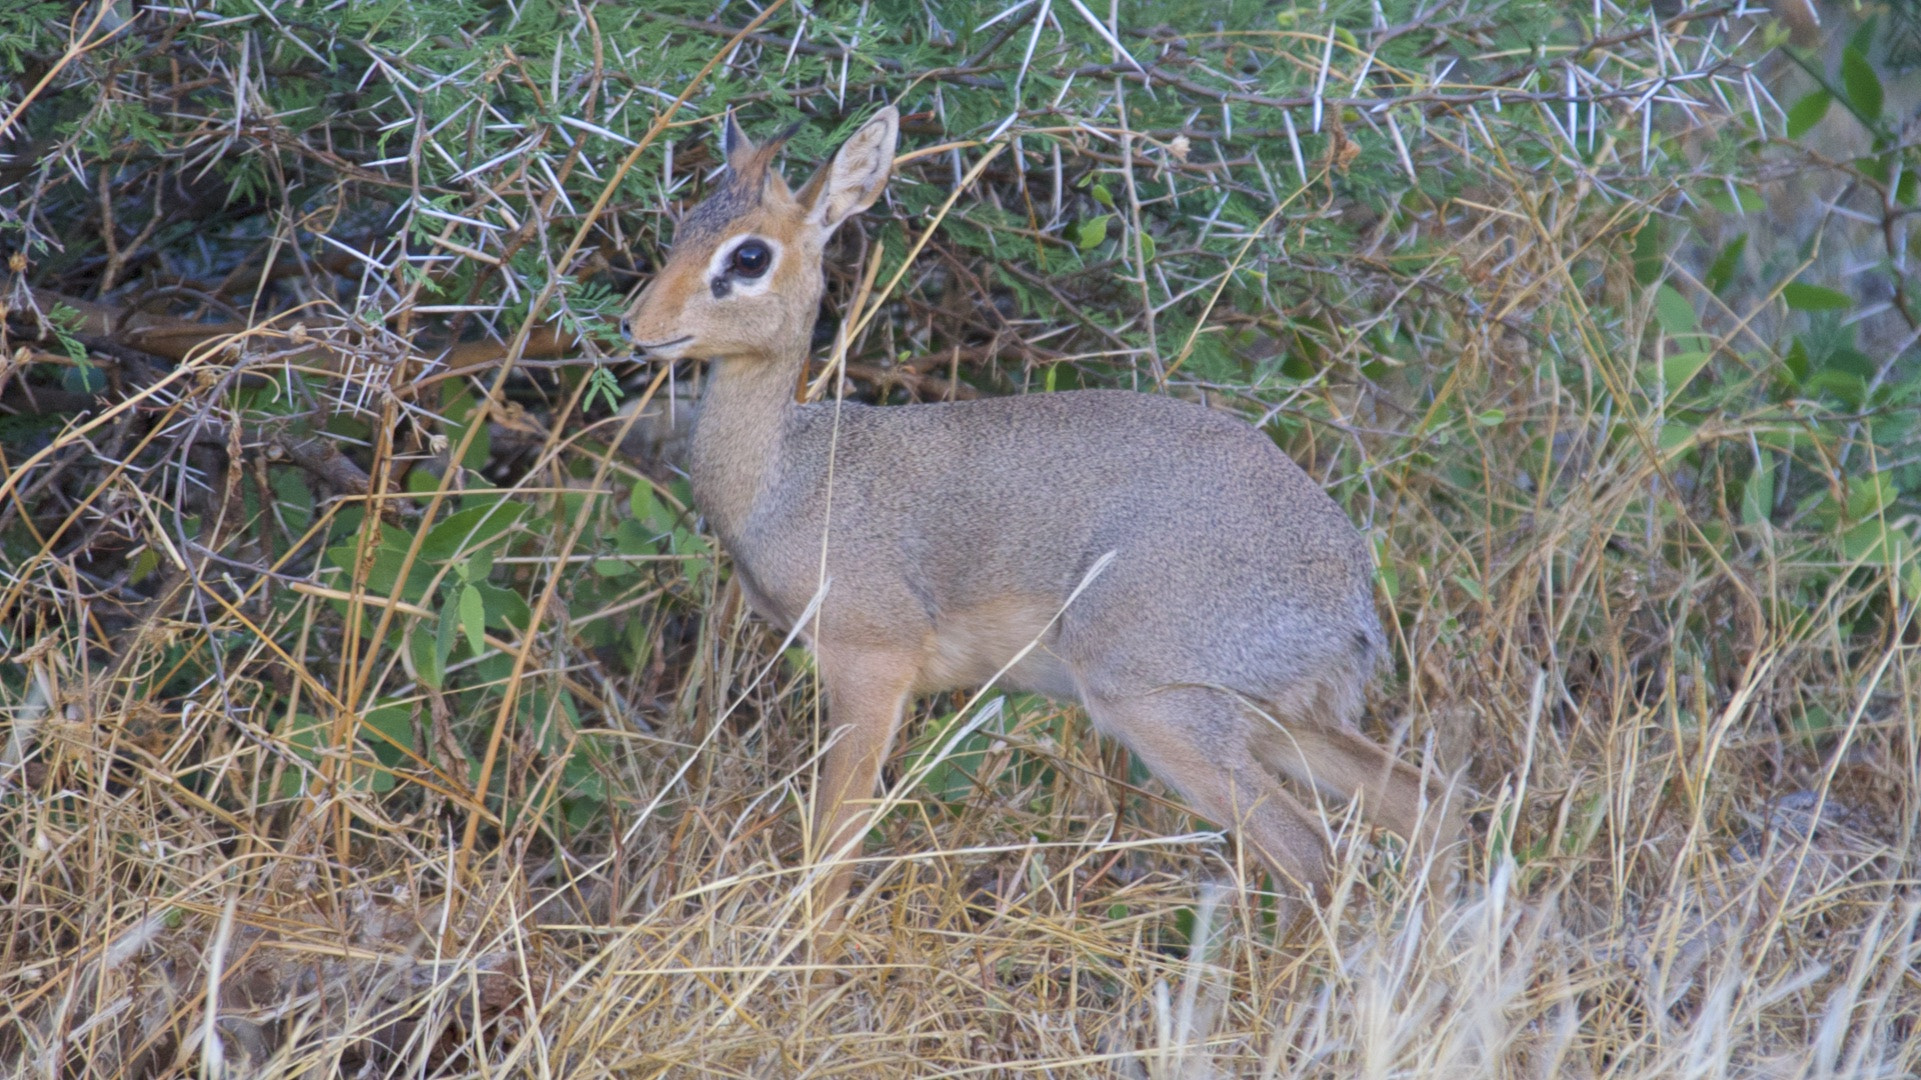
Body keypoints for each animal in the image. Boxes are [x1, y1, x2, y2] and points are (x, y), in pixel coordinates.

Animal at [620, 105, 1460, 946]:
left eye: (748, 255)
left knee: (1311, 854)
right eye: (683, 226)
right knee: (1424, 808)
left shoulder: (870, 664)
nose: (638, 325)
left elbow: (830, 853)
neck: (788, 476)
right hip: (1274, 721)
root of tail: (1348, 588)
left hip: (1159, 707)